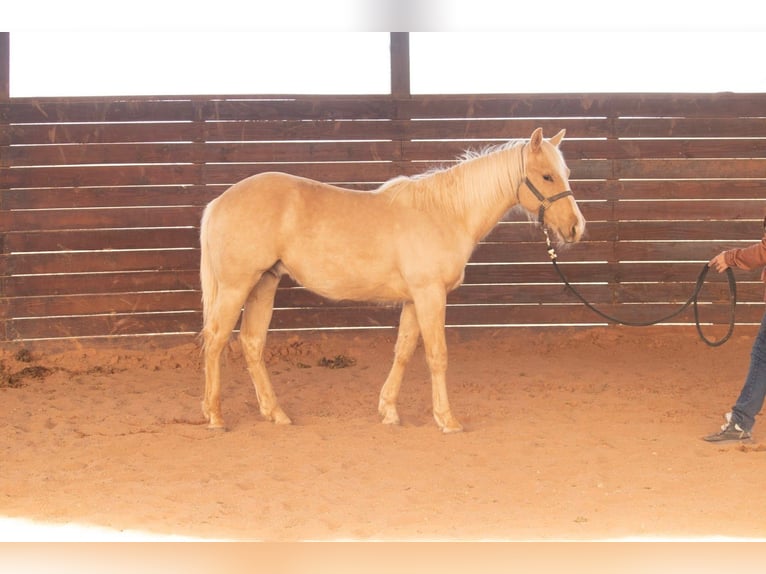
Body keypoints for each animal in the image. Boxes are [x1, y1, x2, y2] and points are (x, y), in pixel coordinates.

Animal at [199, 127, 586, 433]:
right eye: (547, 176)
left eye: (565, 172)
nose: (576, 228)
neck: (445, 212)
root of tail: (218, 202)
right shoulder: (430, 295)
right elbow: (436, 355)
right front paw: (447, 420)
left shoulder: (414, 299)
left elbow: (403, 351)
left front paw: (389, 411)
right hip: (237, 286)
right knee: (216, 340)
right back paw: (216, 416)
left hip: (264, 283)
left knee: (251, 343)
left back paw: (275, 413)